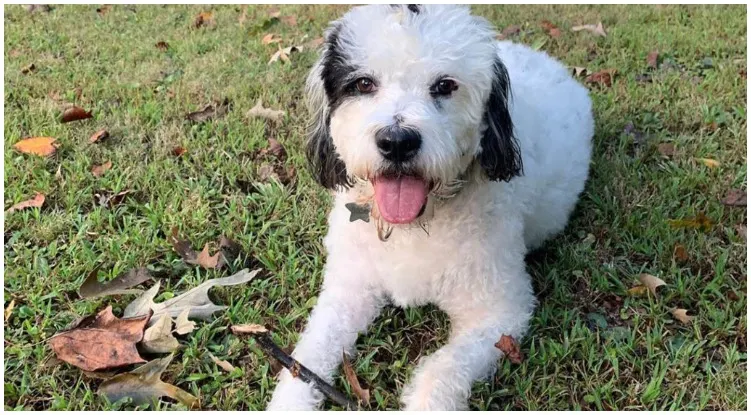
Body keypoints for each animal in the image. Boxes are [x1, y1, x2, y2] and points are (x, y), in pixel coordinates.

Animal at [268, 4, 592, 412]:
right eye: (363, 84)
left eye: (445, 85)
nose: (397, 141)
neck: (413, 226)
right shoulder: (348, 288)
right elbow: (308, 354)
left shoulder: (499, 312)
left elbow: (443, 368)